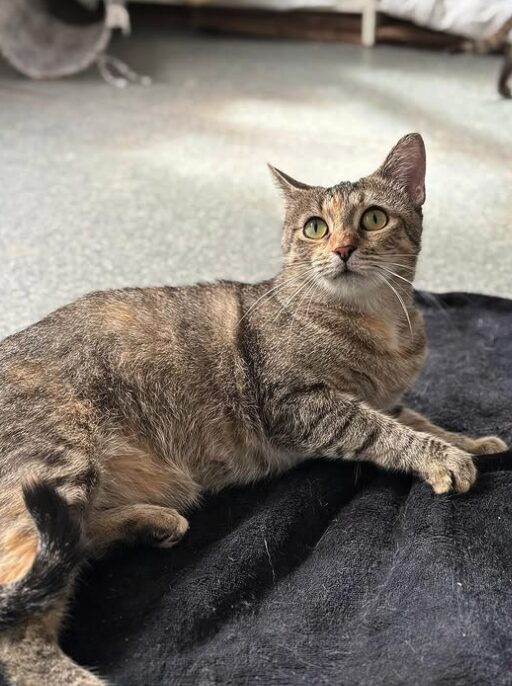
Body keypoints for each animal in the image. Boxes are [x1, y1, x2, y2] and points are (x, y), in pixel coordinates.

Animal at [0, 132, 506, 684]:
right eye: (315, 227)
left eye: (373, 218)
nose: (343, 249)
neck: (378, 324)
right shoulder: (301, 403)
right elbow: (385, 431)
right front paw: (442, 458)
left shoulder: (386, 399)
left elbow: (420, 419)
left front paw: (469, 441)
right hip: (56, 465)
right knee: (19, 628)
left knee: (75, 544)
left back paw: (152, 521)